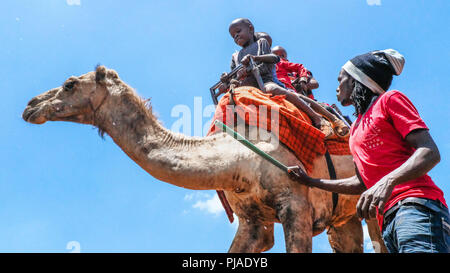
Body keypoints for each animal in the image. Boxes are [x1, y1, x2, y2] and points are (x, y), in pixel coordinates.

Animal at [22, 65, 386, 251]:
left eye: (69, 83)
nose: (30, 105)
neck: (238, 155)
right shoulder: (251, 220)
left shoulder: (296, 207)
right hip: (343, 218)